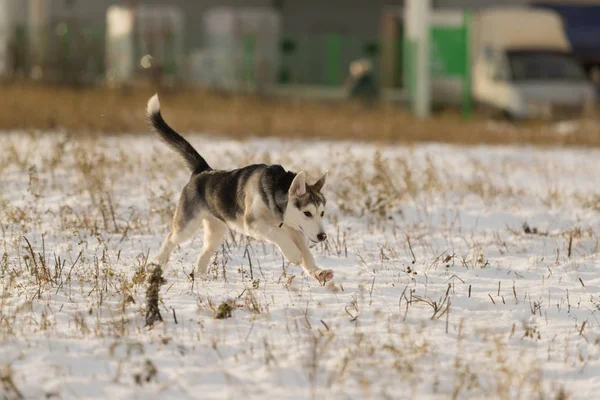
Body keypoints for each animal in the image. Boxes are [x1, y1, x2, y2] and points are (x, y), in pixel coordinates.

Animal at [145, 94, 332, 282]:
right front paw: (293, 254)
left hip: (216, 231)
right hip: (188, 224)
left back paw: (201, 278)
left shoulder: (294, 228)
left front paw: (318, 272)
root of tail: (203, 170)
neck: (274, 194)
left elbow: (306, 251)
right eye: (307, 213)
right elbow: (277, 234)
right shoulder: (253, 223)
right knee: (170, 240)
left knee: (204, 254)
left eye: (322, 213)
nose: (323, 236)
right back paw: (155, 263)